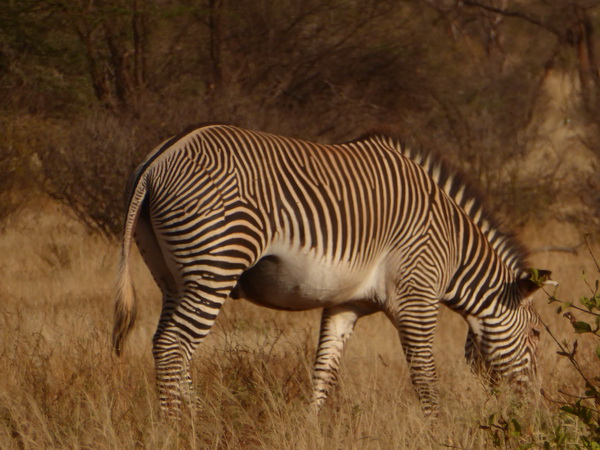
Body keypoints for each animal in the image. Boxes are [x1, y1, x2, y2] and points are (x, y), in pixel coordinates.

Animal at [111, 124, 548, 418]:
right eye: (536, 334)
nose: (534, 408)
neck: (453, 248)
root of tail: (159, 160)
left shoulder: (345, 304)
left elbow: (324, 369)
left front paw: (311, 426)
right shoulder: (417, 297)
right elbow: (425, 374)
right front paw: (437, 428)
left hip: (172, 277)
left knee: (163, 344)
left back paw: (193, 416)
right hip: (215, 264)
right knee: (174, 347)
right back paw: (182, 425)